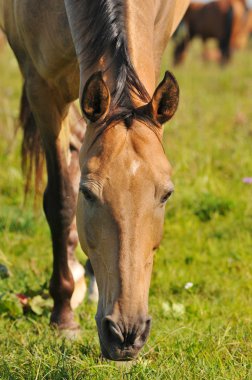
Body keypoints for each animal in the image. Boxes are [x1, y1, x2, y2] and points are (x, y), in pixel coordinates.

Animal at [0, 0, 189, 360]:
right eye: (87, 193)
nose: (127, 334)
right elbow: (60, 201)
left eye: (167, 194)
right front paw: (63, 316)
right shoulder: (43, 89)